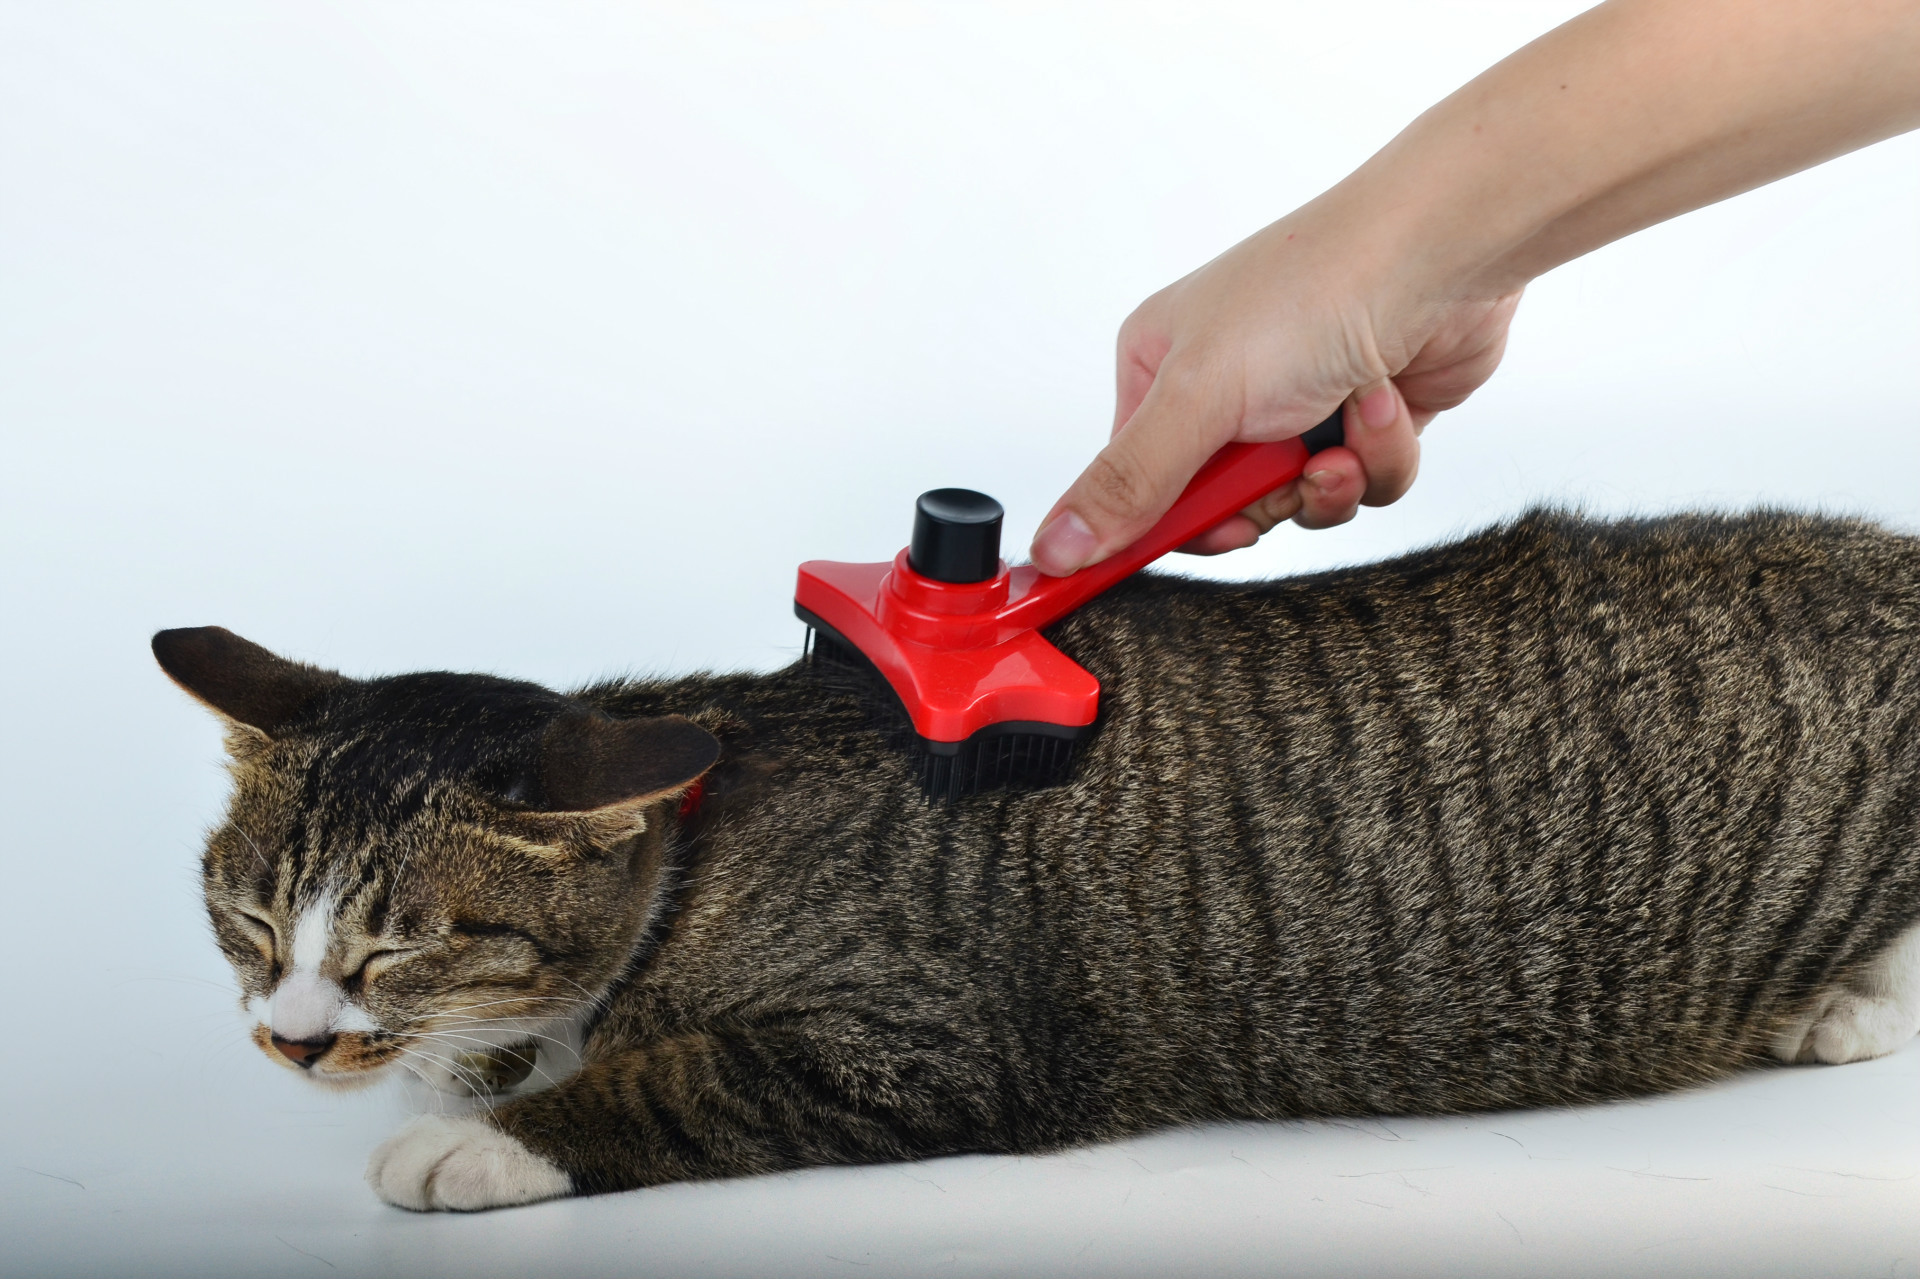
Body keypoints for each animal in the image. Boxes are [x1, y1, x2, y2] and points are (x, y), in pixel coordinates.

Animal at [153, 508, 1920, 1212]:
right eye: (246, 918)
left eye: (398, 944)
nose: (290, 1036)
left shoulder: (936, 1043)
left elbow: (669, 1080)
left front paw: (483, 1136)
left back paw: (1843, 1002)